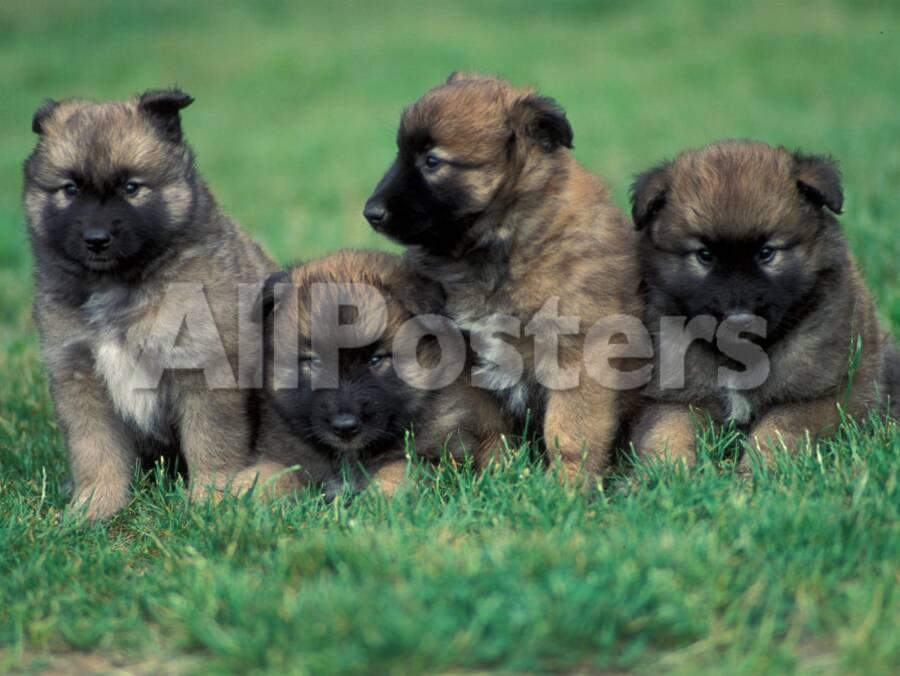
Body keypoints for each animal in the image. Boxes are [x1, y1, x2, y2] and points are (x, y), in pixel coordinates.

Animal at [24, 89, 280, 518]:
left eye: (131, 188)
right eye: (70, 190)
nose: (96, 239)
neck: (118, 285)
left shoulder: (204, 368)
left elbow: (212, 442)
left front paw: (211, 499)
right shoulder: (78, 374)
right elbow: (94, 449)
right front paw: (94, 507)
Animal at [253, 250, 510, 497]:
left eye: (376, 360)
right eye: (314, 361)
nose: (345, 427)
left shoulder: (444, 461)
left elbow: (399, 470)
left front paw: (380, 500)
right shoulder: (287, 454)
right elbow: (268, 474)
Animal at [363, 73, 642, 485]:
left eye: (432, 161)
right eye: (400, 153)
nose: (371, 213)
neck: (500, 247)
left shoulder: (577, 356)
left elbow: (569, 433)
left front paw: (567, 487)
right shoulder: (465, 363)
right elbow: (487, 429)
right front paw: (500, 476)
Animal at [629, 139, 898, 468]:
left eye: (767, 253)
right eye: (704, 256)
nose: (738, 321)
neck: (739, 358)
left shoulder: (822, 397)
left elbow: (777, 431)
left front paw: (758, 471)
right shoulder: (679, 397)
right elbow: (666, 433)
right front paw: (665, 472)